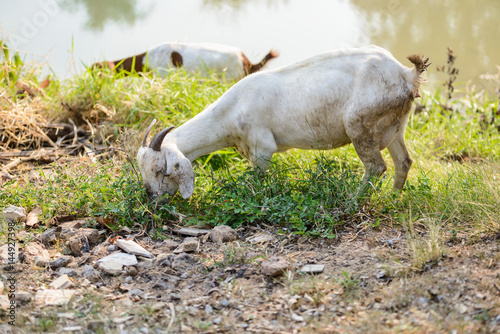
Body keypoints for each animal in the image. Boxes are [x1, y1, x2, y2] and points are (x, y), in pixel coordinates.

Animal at [137, 45, 430, 200]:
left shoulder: (262, 148)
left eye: (161, 170)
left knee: (376, 166)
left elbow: (257, 180)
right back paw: (393, 197)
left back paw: (352, 199)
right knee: (403, 162)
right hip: (395, 126)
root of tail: (406, 73)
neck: (231, 111)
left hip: (362, 125)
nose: (150, 197)